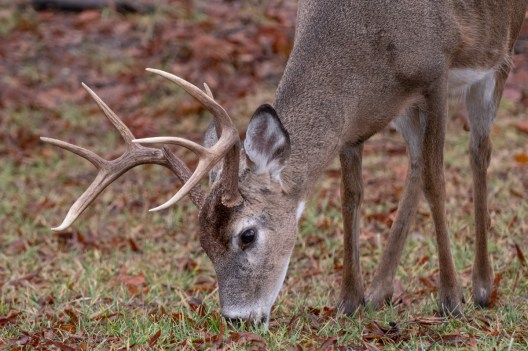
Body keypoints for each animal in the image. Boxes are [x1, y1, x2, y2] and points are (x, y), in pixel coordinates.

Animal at [44, 1, 528, 328]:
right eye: (202, 244)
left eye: (247, 235)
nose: (237, 318)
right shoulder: (353, 124)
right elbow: (351, 196)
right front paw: (349, 300)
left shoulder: (435, 73)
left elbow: (436, 179)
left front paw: (450, 299)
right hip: (406, 110)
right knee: (413, 164)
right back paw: (380, 290)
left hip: (499, 56)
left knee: (477, 151)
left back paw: (481, 286)